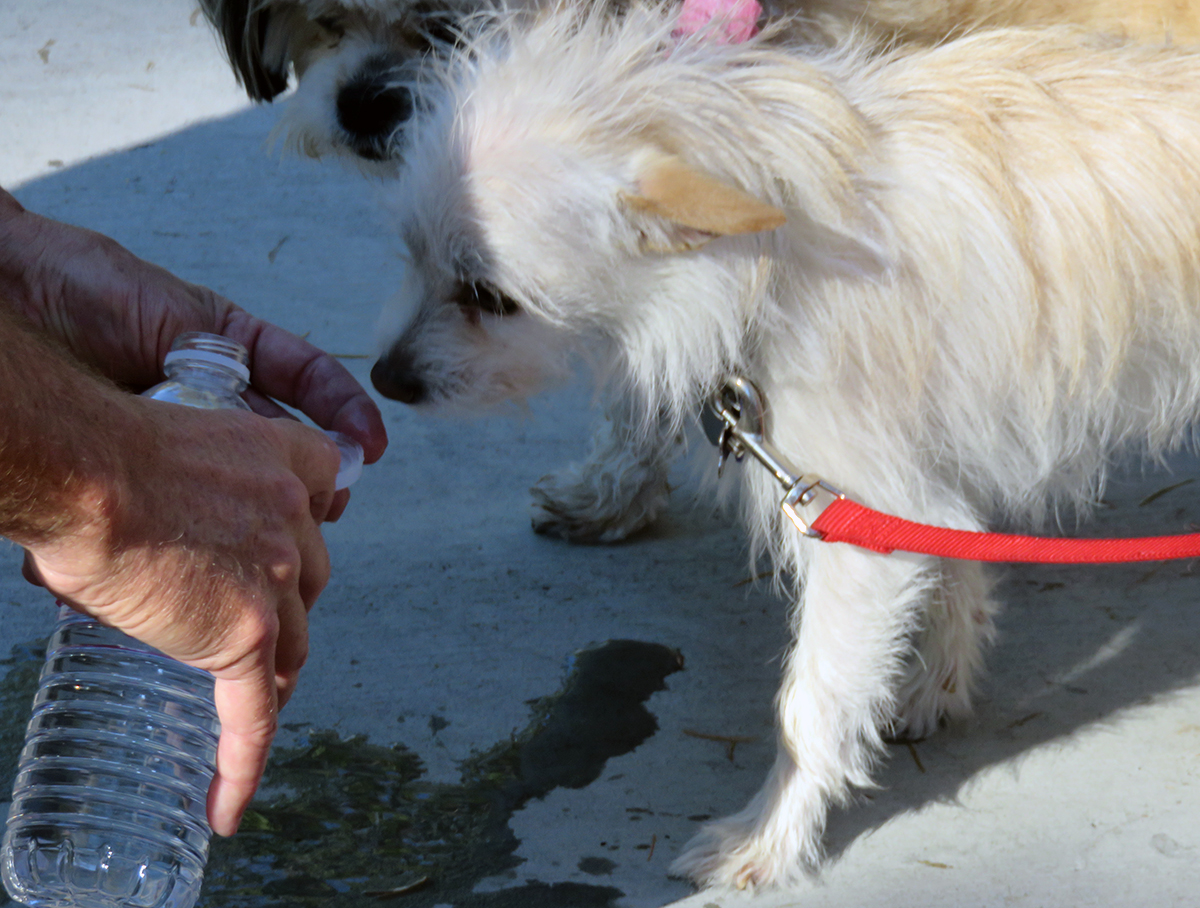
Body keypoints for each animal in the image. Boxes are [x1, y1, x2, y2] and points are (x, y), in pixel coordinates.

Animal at [368, 1, 1200, 888]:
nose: (384, 378)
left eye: (488, 295)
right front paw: (931, 687)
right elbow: (955, 561)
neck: (766, 267)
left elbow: (810, 707)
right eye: (410, 256)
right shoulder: (915, 484)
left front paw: (767, 837)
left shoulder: (857, 528)